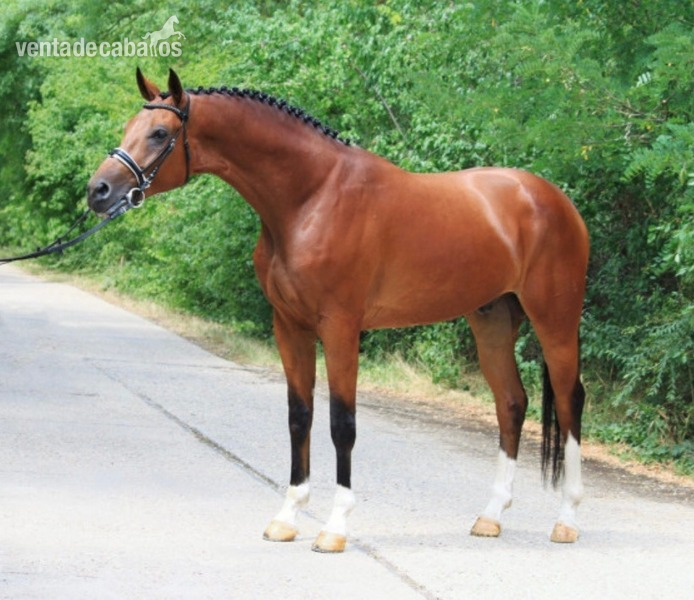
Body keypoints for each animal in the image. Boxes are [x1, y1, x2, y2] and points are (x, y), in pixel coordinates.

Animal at [87, 69, 589, 553]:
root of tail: (554, 199)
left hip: (556, 320)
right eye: (130, 126)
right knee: (511, 403)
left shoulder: (341, 328)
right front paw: (287, 518)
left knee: (570, 403)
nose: (99, 191)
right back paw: (490, 516)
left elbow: (341, 423)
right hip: (492, 320)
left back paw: (567, 520)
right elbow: (299, 416)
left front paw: (334, 528)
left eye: (159, 132)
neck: (312, 197)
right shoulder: (289, 326)